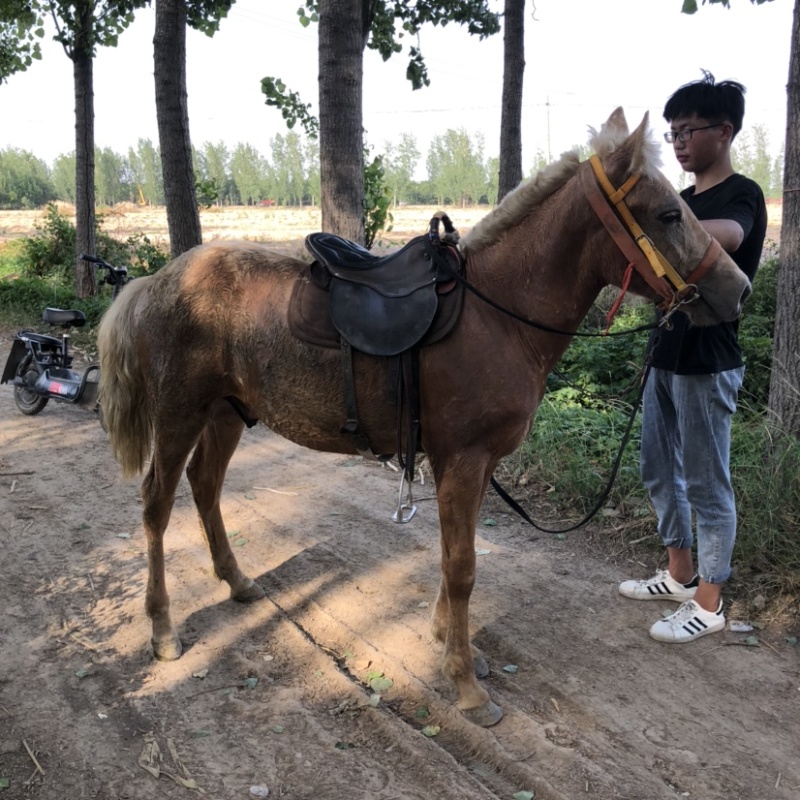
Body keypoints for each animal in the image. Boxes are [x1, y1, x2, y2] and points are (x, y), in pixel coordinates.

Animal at [97, 108, 751, 727]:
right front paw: (465, 686)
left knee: (205, 487)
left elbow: (452, 557)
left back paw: (236, 582)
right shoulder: (462, 460)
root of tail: (158, 279)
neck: (500, 314)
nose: (738, 288)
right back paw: (162, 629)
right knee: (157, 505)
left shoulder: (473, 465)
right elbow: (461, 568)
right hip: (179, 414)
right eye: (668, 214)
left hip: (227, 414)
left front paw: (449, 644)